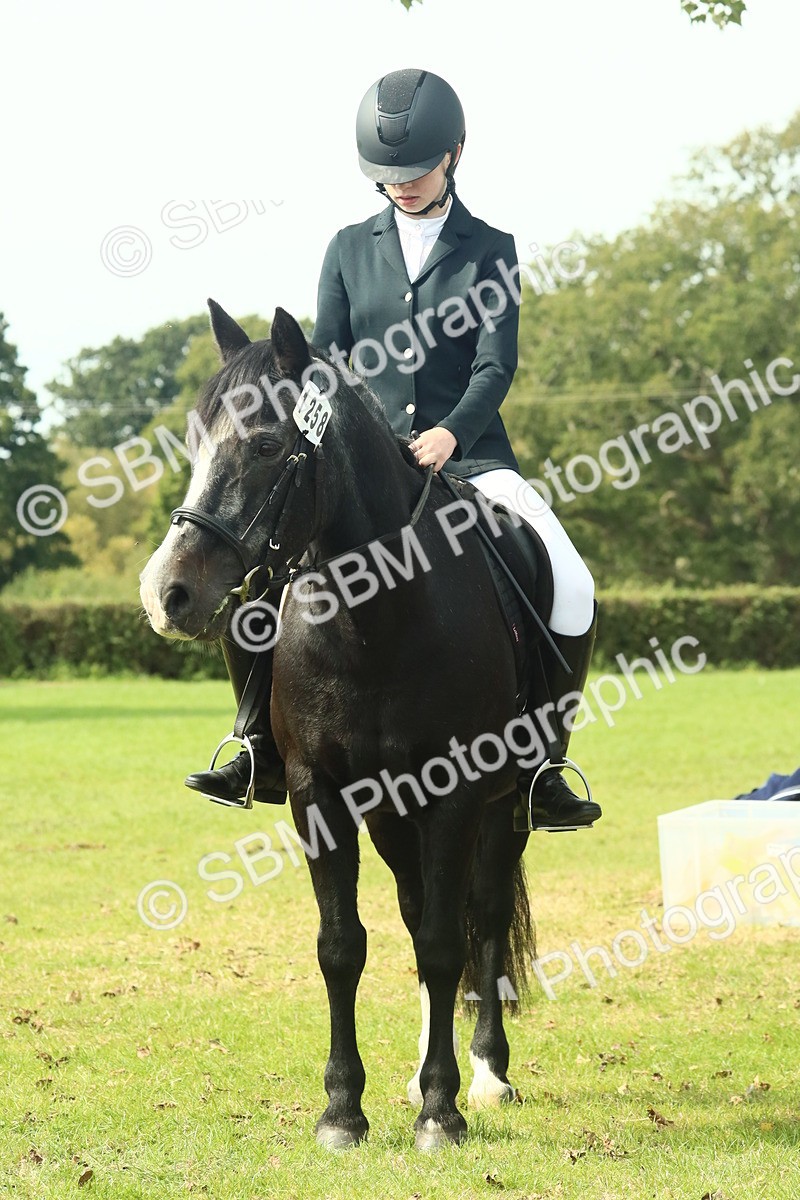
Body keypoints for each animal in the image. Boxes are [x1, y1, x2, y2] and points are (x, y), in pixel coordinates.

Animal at [140, 300, 553, 1151]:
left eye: (267, 444)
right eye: (195, 444)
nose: (167, 594)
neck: (375, 618)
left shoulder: (460, 792)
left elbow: (447, 941)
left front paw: (443, 1112)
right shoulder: (318, 792)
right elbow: (344, 945)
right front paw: (343, 1110)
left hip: (506, 807)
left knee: (484, 918)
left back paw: (486, 1076)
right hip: (393, 811)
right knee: (418, 911)